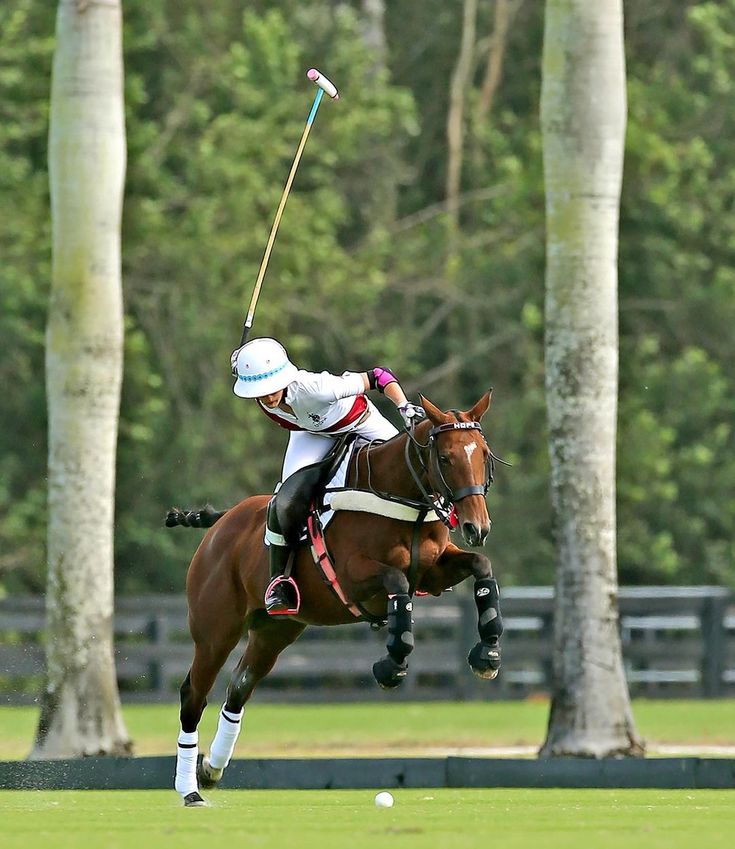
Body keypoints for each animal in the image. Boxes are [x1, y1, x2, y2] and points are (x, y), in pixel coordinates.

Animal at [167, 390, 506, 800]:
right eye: (445, 458)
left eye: (484, 455)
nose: (477, 527)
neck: (403, 498)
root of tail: (221, 523)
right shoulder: (354, 576)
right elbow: (397, 583)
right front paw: (392, 663)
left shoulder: (435, 571)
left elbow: (482, 566)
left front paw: (488, 653)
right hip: (215, 632)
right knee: (193, 696)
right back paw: (189, 790)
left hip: (274, 632)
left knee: (239, 688)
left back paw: (211, 769)